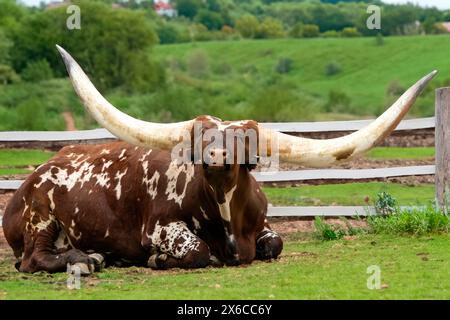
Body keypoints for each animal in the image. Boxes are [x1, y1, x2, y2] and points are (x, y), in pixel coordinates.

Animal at [2, 45, 436, 272]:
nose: (216, 156)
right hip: (41, 215)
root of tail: (34, 174)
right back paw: (86, 258)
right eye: (202, 137)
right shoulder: (157, 227)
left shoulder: (264, 227)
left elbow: (275, 243)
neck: (227, 214)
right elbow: (197, 251)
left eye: (243, 141)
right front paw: (160, 259)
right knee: (33, 258)